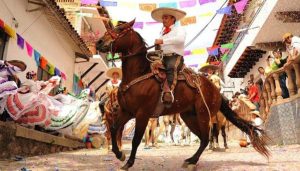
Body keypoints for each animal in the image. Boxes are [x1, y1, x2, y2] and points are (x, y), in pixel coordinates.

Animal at [96, 19, 270, 170]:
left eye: (120, 29)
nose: (98, 42)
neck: (138, 74)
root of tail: (216, 92)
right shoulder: (126, 111)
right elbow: (113, 129)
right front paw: (120, 155)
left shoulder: (142, 114)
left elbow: (136, 139)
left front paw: (128, 162)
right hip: (189, 117)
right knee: (202, 138)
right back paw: (191, 159)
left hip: (203, 115)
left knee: (206, 138)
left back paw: (193, 161)